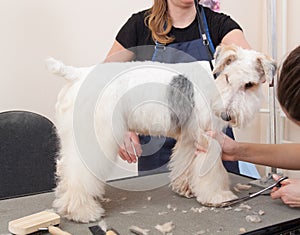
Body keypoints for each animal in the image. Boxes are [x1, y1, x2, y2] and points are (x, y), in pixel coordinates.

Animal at [47, 44, 276, 222]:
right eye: (228, 77)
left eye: (249, 84)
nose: (227, 115)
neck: (215, 80)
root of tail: (77, 74)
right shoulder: (207, 138)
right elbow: (211, 173)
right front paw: (218, 196)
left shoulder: (190, 137)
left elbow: (186, 164)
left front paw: (185, 188)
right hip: (94, 137)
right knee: (77, 173)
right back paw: (81, 210)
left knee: (65, 168)